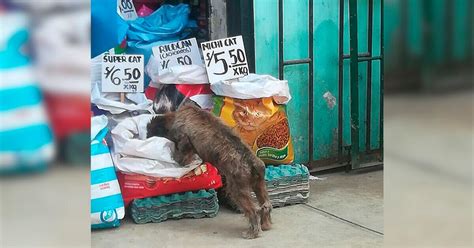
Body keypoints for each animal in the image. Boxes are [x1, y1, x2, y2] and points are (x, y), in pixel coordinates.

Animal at [146, 104, 272, 238]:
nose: (146, 138)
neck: (174, 117)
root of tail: (251, 161)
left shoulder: (184, 142)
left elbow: (182, 155)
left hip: (237, 190)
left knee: (253, 211)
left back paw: (253, 232)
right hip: (259, 185)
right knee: (266, 206)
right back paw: (266, 225)